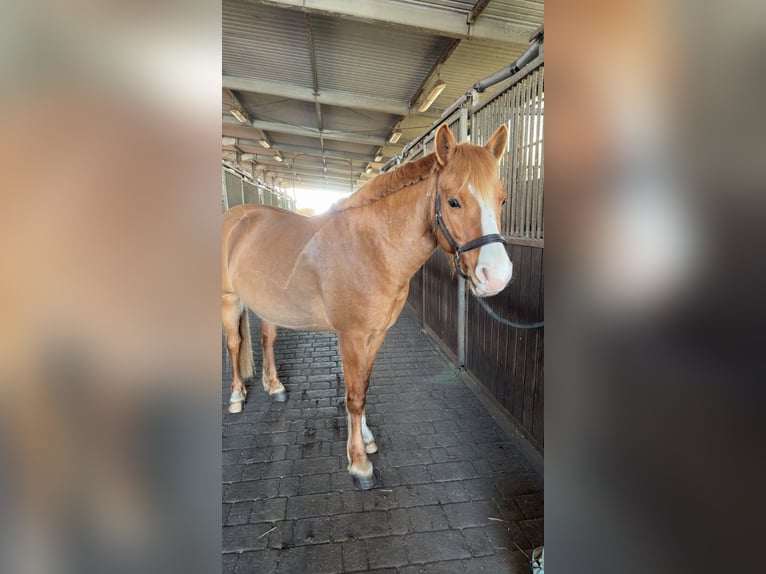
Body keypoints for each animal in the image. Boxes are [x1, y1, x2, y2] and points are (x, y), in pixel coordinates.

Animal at [221, 123, 512, 489]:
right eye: (453, 201)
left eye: (503, 199)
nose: (497, 276)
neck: (371, 248)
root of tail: (235, 217)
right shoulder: (352, 337)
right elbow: (354, 394)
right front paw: (359, 464)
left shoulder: (377, 334)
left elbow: (364, 385)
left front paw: (366, 439)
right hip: (229, 299)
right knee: (234, 344)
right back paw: (236, 397)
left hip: (270, 304)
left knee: (267, 338)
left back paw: (275, 387)